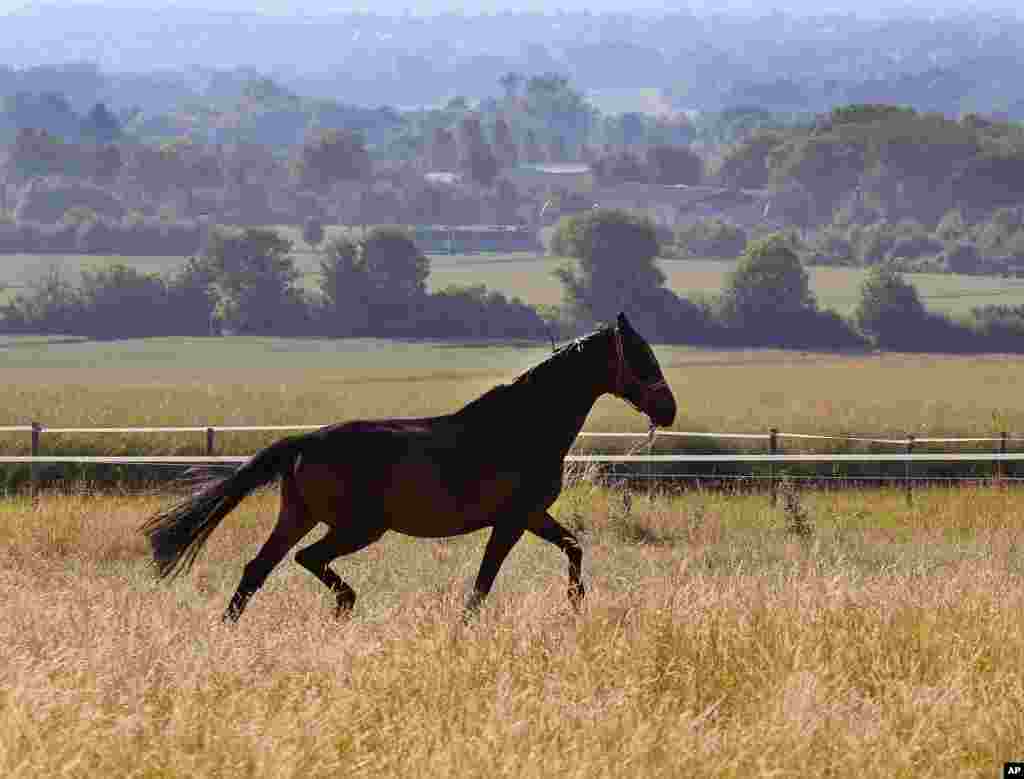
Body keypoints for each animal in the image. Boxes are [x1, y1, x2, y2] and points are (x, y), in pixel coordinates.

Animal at [140, 309, 675, 618]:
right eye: (641, 356)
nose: (668, 409)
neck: (521, 427)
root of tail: (304, 441)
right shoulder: (511, 521)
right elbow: (483, 583)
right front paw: (469, 625)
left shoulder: (532, 516)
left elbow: (573, 547)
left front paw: (576, 604)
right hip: (359, 527)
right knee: (306, 560)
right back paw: (345, 604)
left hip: (299, 516)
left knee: (258, 569)